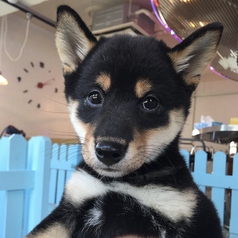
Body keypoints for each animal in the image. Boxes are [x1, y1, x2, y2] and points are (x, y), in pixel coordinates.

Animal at [27, 5, 224, 238]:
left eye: (150, 102)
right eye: (95, 97)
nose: (108, 150)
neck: (119, 182)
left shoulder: (148, 220)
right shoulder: (70, 206)